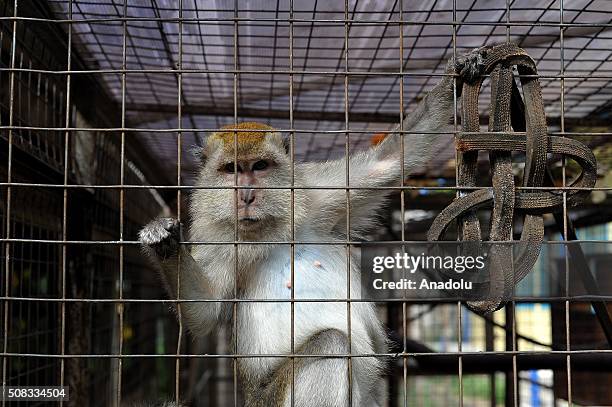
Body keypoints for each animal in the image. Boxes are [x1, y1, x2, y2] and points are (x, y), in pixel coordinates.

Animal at [140, 46, 488, 406]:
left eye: (260, 166)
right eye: (231, 169)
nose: (247, 195)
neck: (272, 230)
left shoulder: (315, 191)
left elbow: (390, 161)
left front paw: (456, 75)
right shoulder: (212, 230)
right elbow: (205, 309)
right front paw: (163, 242)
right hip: (271, 399)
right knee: (331, 344)